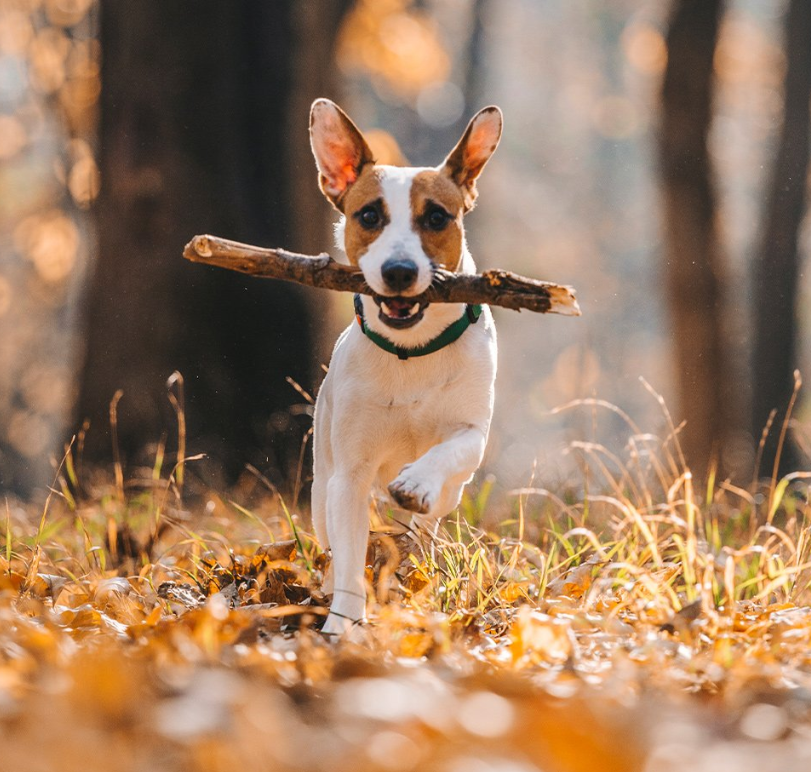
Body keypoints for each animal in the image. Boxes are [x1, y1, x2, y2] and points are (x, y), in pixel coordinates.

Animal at [310, 99, 502, 636]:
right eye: (369, 215)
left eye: (436, 216)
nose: (399, 272)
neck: (411, 350)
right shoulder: (349, 474)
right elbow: (349, 557)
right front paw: (342, 624)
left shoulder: (472, 431)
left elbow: (451, 451)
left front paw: (417, 482)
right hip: (319, 484)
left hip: (452, 495)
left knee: (428, 520)